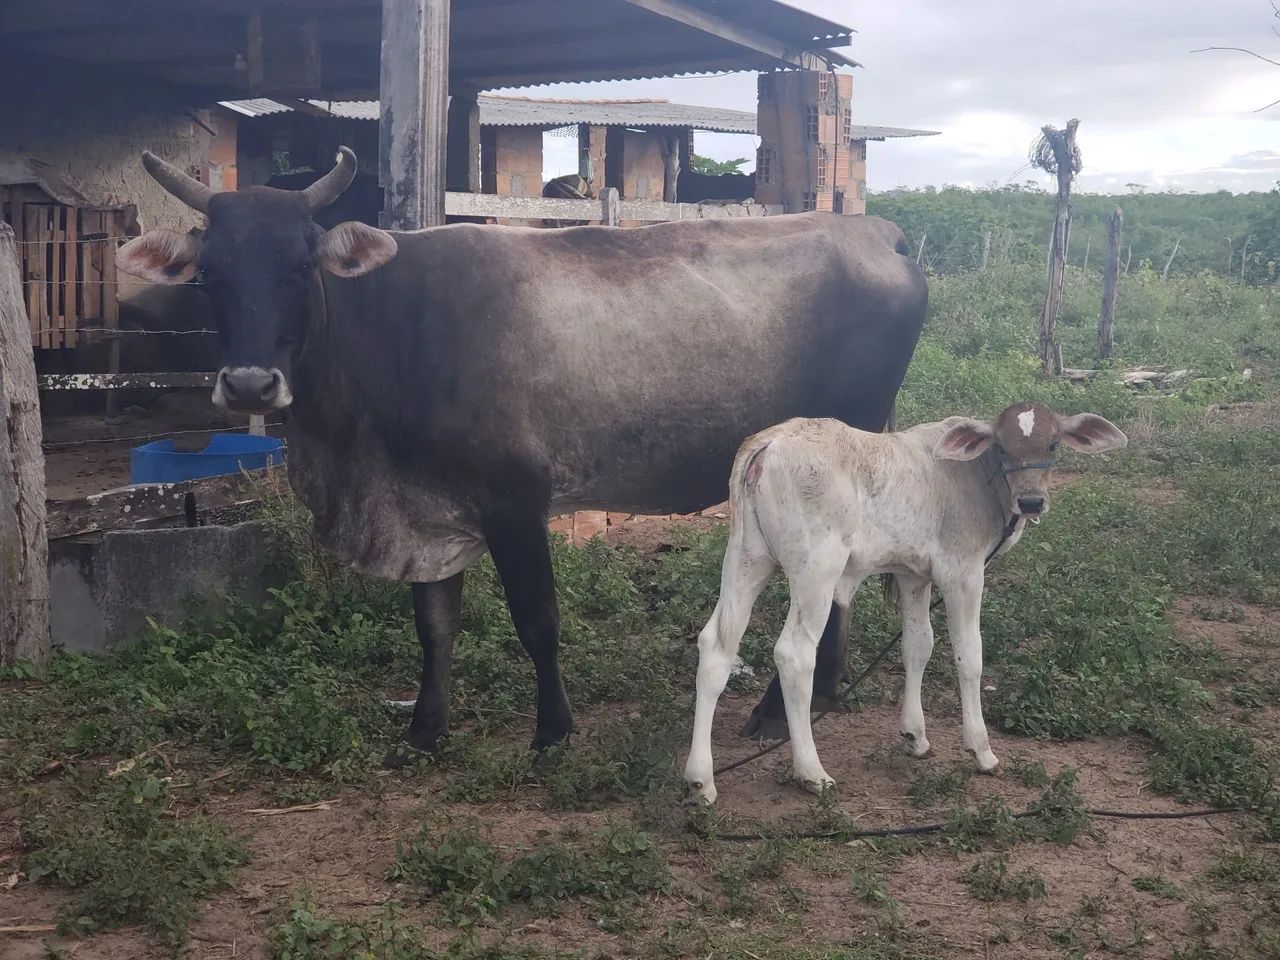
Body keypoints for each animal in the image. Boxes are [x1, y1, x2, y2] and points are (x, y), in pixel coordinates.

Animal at [114, 146, 928, 764]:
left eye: (298, 265)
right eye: (209, 274)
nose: (250, 382)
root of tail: (880, 232)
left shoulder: (515, 500)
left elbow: (536, 618)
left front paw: (553, 731)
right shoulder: (426, 511)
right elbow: (435, 623)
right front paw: (425, 729)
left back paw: (775, 710)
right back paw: (821, 694)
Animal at [683, 403, 1127, 803]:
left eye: (1053, 444)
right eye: (1001, 446)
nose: (1032, 502)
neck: (975, 477)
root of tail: (770, 441)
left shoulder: (914, 575)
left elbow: (918, 646)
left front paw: (915, 735)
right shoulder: (962, 572)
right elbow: (969, 655)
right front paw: (981, 749)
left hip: (746, 558)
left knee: (716, 646)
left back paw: (700, 780)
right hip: (815, 570)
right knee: (794, 654)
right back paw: (811, 772)